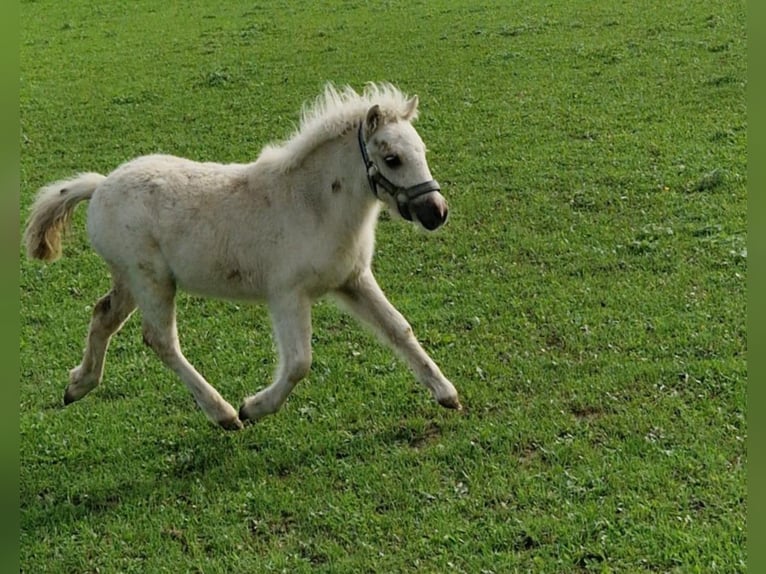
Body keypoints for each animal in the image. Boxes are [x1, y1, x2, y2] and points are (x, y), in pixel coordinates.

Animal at [23, 82, 462, 430]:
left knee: (103, 316)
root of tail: (99, 187)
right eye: (392, 159)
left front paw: (446, 393)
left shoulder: (352, 280)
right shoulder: (287, 294)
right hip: (151, 280)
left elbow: (398, 329)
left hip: (130, 279)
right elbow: (299, 361)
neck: (314, 205)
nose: (436, 212)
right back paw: (224, 414)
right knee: (160, 340)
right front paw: (254, 407)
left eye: (422, 151)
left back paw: (78, 385)